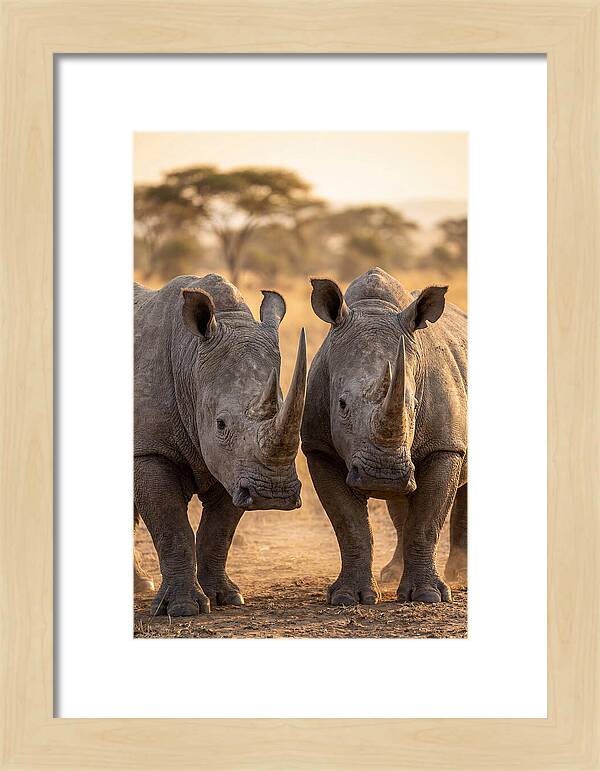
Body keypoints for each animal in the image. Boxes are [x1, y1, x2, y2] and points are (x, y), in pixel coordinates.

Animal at [134, 274, 306, 616]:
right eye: (221, 424)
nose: (273, 494)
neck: (190, 360)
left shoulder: (236, 467)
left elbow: (218, 531)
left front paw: (225, 597)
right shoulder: (149, 449)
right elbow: (171, 527)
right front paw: (183, 609)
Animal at [301, 267, 467, 605]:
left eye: (414, 405)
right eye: (341, 404)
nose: (383, 475)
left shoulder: (445, 447)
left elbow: (427, 522)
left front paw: (428, 596)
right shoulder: (319, 448)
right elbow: (350, 525)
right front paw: (348, 597)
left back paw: (460, 575)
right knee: (401, 504)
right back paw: (392, 573)